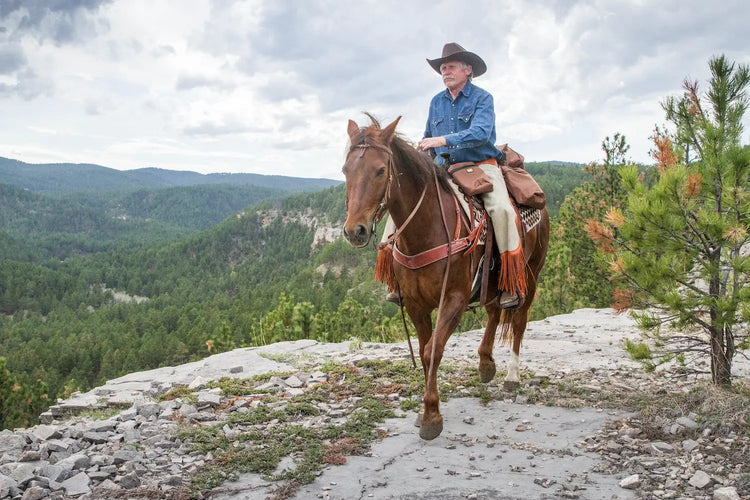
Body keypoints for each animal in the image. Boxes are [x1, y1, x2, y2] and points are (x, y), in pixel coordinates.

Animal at [342, 115, 550, 440]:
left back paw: (512, 376)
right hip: (494, 281)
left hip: (530, 274)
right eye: (345, 170)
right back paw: (485, 363)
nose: (355, 230)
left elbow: (433, 351)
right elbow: (424, 351)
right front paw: (427, 410)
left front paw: (430, 416)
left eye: (380, 170)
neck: (425, 232)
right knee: (493, 311)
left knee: (519, 320)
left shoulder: (453, 299)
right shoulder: (416, 304)